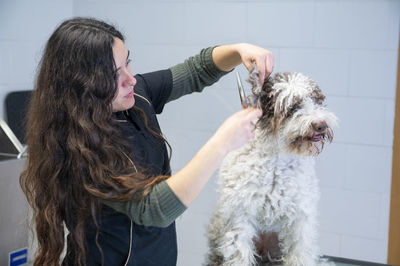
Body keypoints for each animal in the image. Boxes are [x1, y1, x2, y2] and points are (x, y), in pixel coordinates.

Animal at [206, 65, 338, 266]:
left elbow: (299, 253)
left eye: (317, 100)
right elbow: (240, 254)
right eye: (292, 107)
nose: (320, 125)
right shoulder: (240, 217)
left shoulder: (300, 220)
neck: (277, 163)